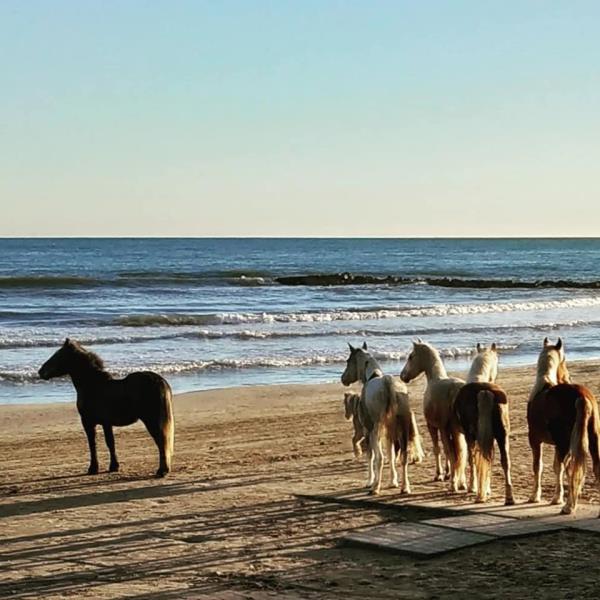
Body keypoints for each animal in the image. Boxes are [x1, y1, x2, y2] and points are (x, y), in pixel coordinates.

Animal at [39, 340, 175, 476]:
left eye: (58, 355)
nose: (40, 372)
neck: (93, 386)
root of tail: (159, 381)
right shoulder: (106, 423)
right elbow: (110, 443)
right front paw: (113, 466)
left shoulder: (88, 422)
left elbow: (93, 444)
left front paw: (93, 468)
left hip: (151, 420)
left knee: (161, 441)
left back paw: (162, 471)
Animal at [342, 344, 422, 494]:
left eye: (348, 361)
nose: (343, 378)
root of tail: (387, 383)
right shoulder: (389, 432)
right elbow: (391, 454)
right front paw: (393, 481)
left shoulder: (368, 431)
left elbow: (371, 456)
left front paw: (370, 481)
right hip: (402, 428)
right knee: (403, 456)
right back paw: (405, 487)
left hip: (375, 430)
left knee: (379, 457)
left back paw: (375, 487)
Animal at [400, 340, 466, 490]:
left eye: (411, 356)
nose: (402, 376)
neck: (435, 379)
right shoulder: (447, 430)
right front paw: (447, 473)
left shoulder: (434, 426)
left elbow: (439, 449)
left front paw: (439, 475)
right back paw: (467, 484)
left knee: (453, 453)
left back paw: (454, 484)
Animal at [454, 344, 510, 504]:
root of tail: (484, 391)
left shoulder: (469, 436)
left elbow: (472, 460)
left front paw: (473, 487)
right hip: (502, 436)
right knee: (504, 461)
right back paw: (509, 498)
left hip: (474, 436)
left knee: (475, 458)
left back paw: (475, 489)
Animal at [528, 338, 596, 516]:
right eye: (564, 361)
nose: (568, 377)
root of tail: (581, 396)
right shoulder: (557, 445)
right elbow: (556, 467)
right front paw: (557, 497)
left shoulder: (536, 440)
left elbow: (539, 466)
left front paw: (536, 497)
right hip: (591, 440)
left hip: (566, 443)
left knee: (571, 469)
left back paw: (568, 506)